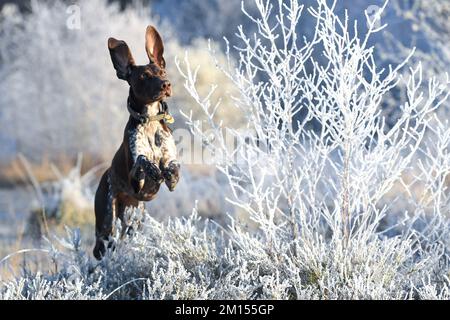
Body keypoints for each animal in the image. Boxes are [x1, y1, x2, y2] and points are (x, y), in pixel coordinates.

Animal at [93, 25, 179, 260]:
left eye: (163, 72)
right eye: (144, 76)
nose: (166, 84)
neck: (150, 123)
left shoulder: (170, 156)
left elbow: (172, 165)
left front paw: (171, 175)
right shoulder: (134, 177)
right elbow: (143, 161)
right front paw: (154, 169)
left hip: (134, 222)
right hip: (107, 222)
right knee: (101, 247)